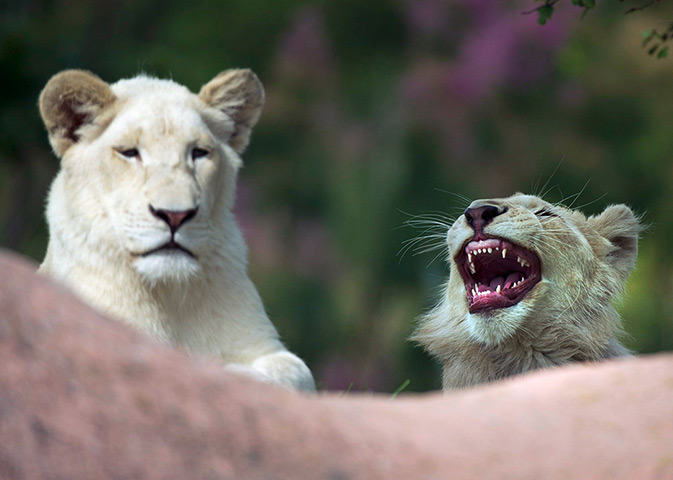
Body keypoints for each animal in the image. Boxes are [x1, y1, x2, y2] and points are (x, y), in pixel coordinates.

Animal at [38, 69, 315, 391]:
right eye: (129, 152)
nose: (174, 215)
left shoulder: (265, 346)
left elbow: (295, 372)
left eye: (199, 153)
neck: (170, 297)